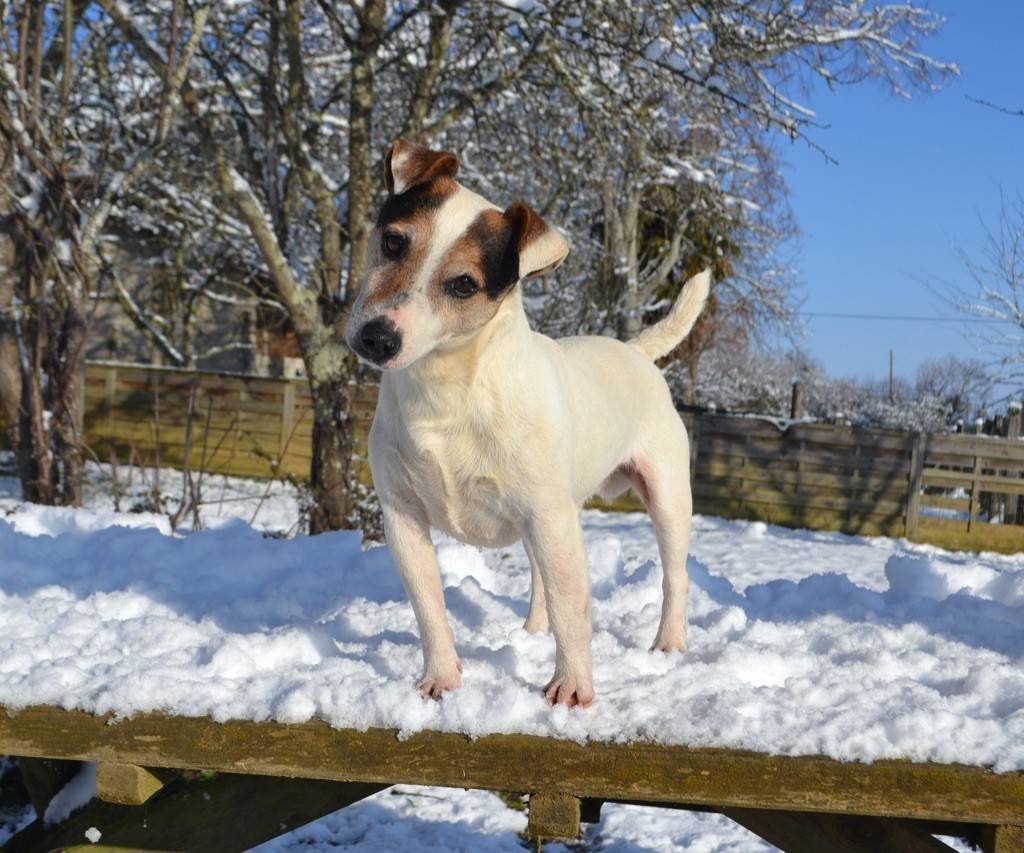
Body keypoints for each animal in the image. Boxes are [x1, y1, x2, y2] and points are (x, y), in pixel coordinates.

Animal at [348, 139, 708, 704]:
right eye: (392, 242)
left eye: (464, 284)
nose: (378, 338)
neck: (449, 390)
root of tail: (635, 351)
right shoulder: (402, 516)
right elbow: (429, 606)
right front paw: (440, 678)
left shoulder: (549, 519)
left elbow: (570, 606)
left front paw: (572, 688)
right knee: (541, 580)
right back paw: (533, 633)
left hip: (664, 497)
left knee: (674, 576)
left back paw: (668, 644)